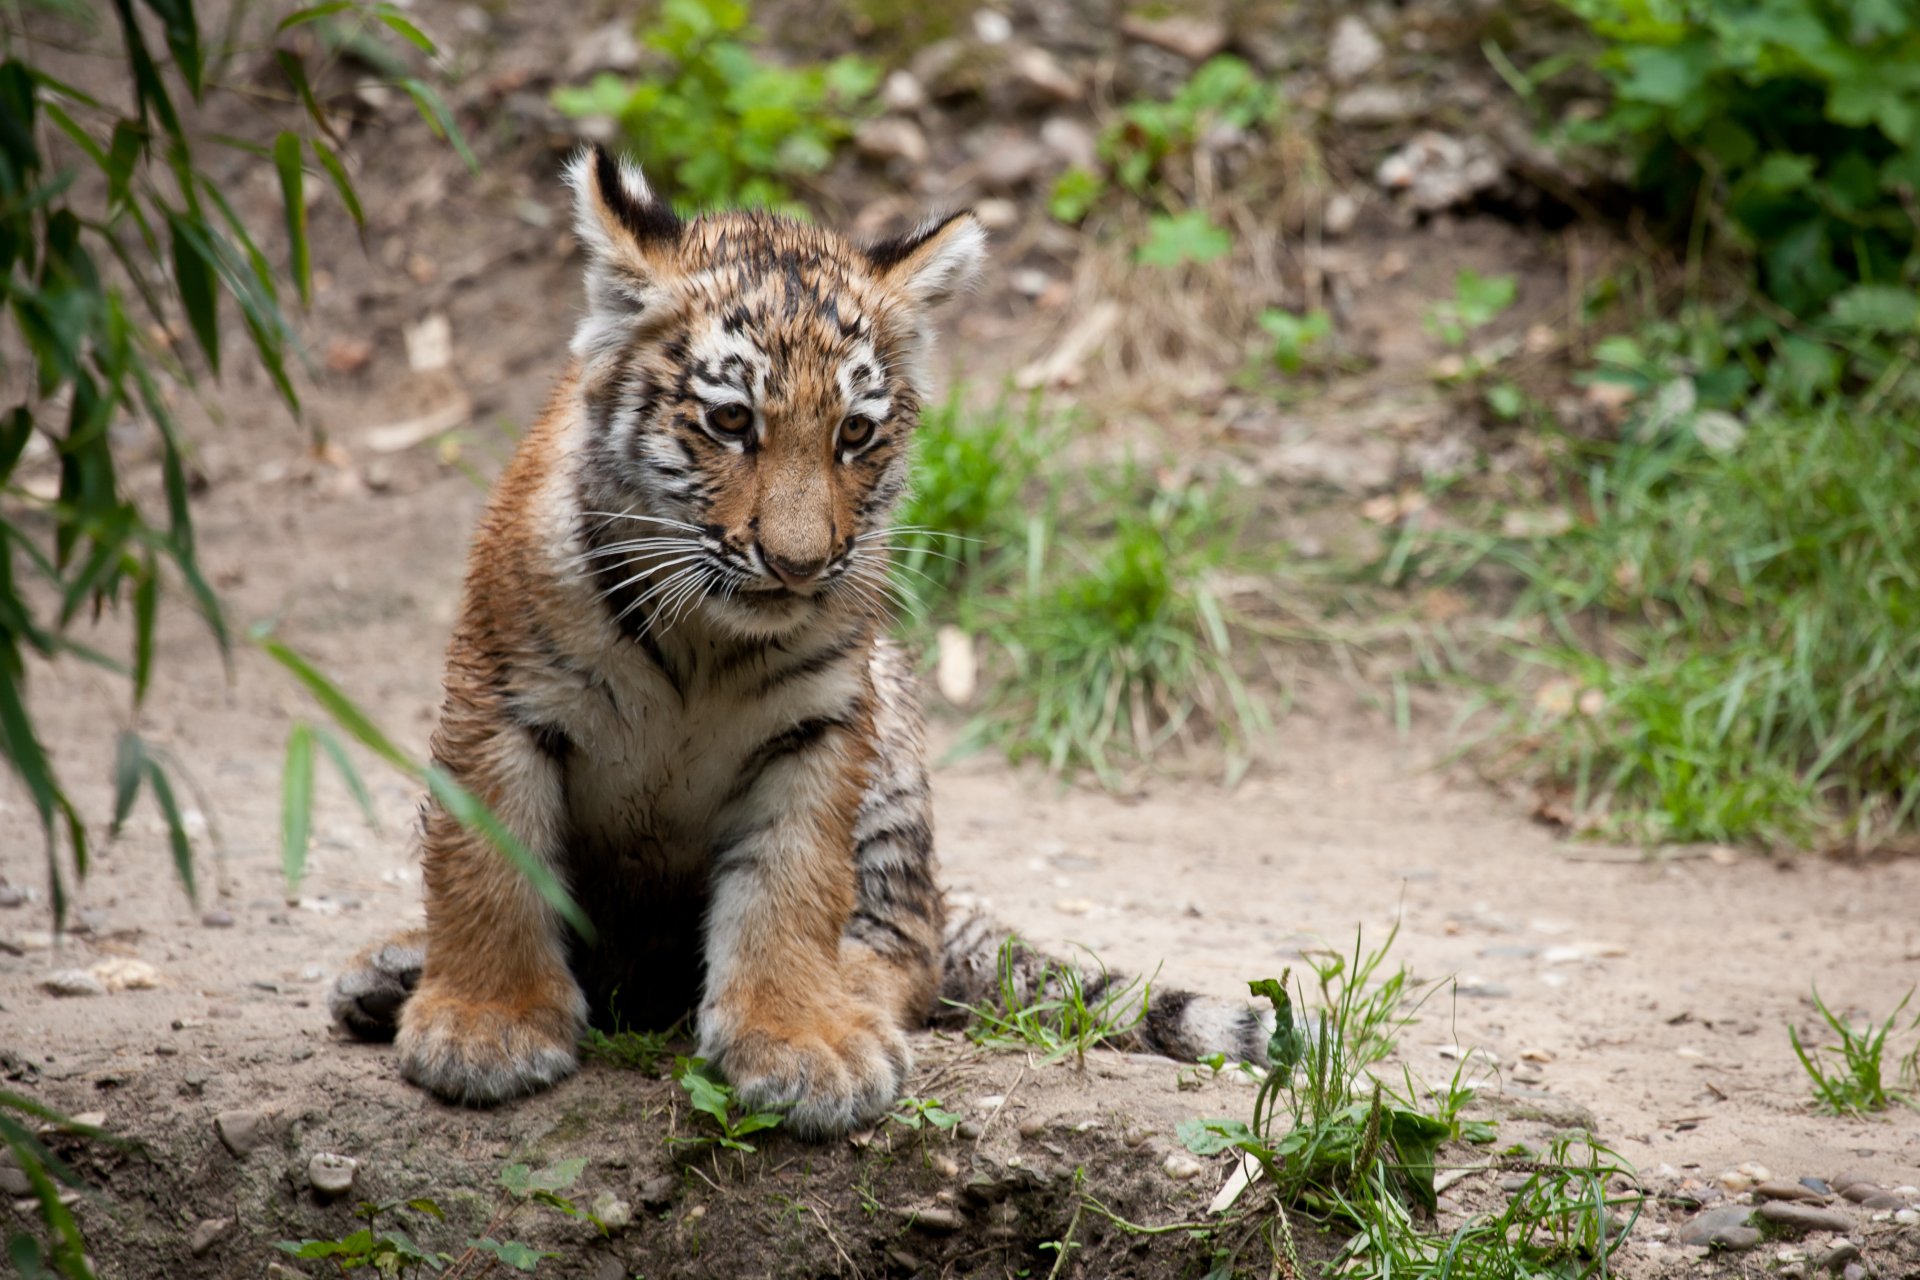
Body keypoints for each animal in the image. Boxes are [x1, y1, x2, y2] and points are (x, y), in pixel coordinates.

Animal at [328, 146, 1270, 1136]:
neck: (704, 638)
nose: (798, 562)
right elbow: (488, 864)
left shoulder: (817, 729)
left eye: (855, 433)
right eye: (732, 421)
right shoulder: (500, 699)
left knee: (910, 952)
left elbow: (790, 887)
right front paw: (484, 1026)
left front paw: (802, 1040)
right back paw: (393, 971)